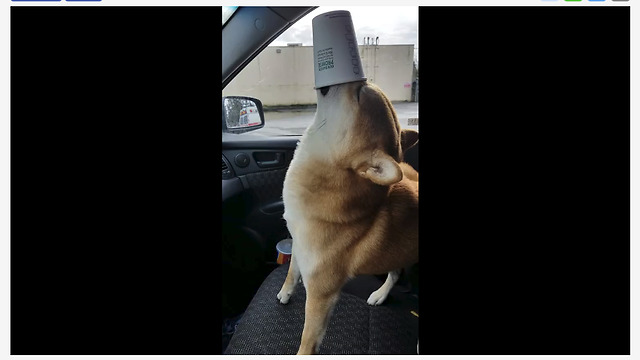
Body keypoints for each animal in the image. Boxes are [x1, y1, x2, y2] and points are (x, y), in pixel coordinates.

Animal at [276, 80, 418, 352]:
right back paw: (380, 294)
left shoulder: (321, 294)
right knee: (395, 273)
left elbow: (307, 339)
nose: (363, 80)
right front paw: (286, 292)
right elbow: (291, 272)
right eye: (365, 85)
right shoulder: (299, 245)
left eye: (360, 93)